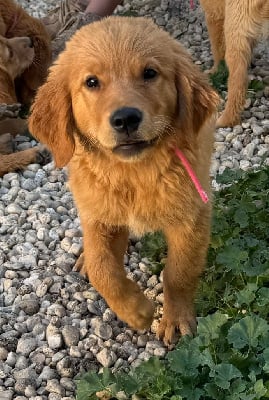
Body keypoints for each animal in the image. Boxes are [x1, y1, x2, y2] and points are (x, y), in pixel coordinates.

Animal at [28, 17, 218, 346]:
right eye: (92, 82)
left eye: (150, 73)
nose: (126, 119)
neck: (134, 173)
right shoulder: (101, 213)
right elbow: (102, 267)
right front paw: (137, 311)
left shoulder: (192, 214)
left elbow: (178, 271)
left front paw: (175, 319)